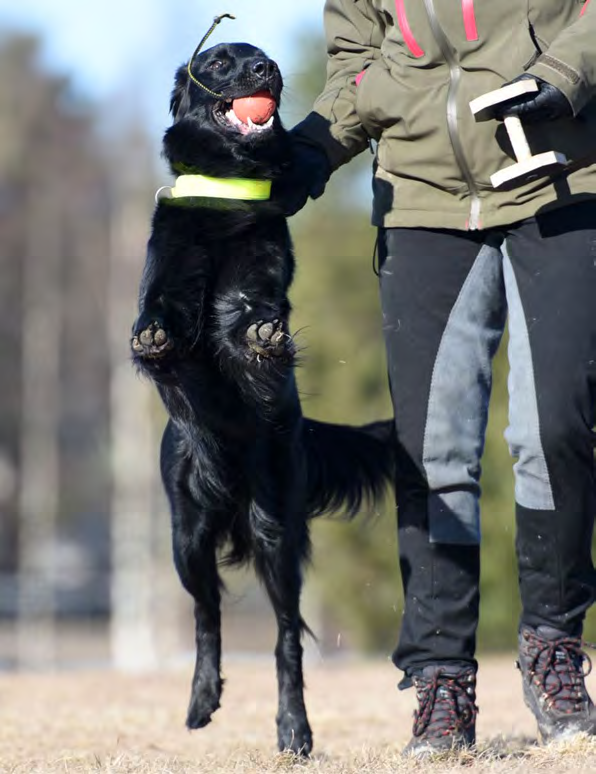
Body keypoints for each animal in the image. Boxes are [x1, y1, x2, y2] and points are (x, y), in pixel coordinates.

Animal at [129, 39, 396, 756]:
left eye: (264, 56)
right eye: (220, 62)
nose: (266, 72)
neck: (227, 196)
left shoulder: (263, 283)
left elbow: (252, 325)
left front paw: (262, 335)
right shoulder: (168, 284)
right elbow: (164, 324)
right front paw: (153, 337)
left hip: (277, 529)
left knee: (285, 637)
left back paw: (294, 729)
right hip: (187, 535)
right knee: (207, 614)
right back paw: (201, 700)